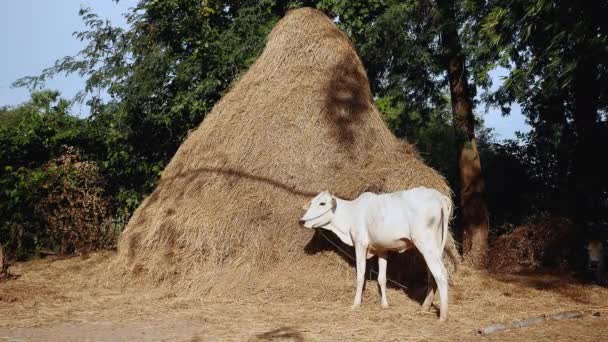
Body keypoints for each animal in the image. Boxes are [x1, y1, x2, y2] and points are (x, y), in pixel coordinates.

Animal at [300, 187, 452, 320]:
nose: (301, 221)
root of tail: (439, 196)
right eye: (312, 202)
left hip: (426, 245)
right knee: (432, 276)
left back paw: (443, 316)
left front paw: (356, 304)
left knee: (441, 274)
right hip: (434, 247)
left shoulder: (360, 244)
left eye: (322, 203)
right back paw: (424, 308)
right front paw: (384, 305)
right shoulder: (382, 249)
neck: (351, 214)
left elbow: (360, 276)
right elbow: (382, 278)